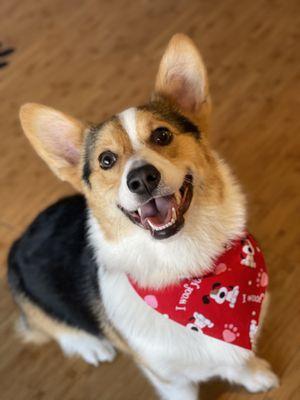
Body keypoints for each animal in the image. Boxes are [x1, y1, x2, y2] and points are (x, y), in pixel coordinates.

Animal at [7, 32, 278, 398]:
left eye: (162, 135)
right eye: (106, 159)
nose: (142, 179)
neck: (185, 267)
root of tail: (20, 239)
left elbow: (241, 360)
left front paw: (255, 375)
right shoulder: (171, 380)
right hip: (33, 298)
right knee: (51, 327)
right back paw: (92, 345)